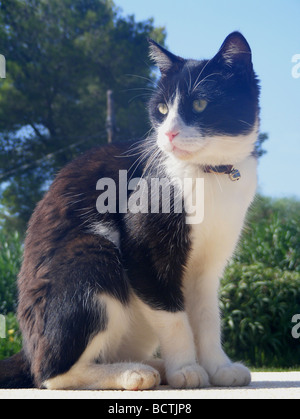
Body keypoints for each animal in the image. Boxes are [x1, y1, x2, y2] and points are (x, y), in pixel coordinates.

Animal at [0, 32, 260, 390]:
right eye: (162, 109)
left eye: (200, 104)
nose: (169, 133)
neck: (209, 173)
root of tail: (27, 348)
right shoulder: (143, 250)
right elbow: (173, 315)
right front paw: (186, 369)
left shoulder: (209, 265)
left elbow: (208, 316)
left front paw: (218, 366)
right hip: (92, 254)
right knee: (52, 374)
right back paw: (134, 372)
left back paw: (152, 365)